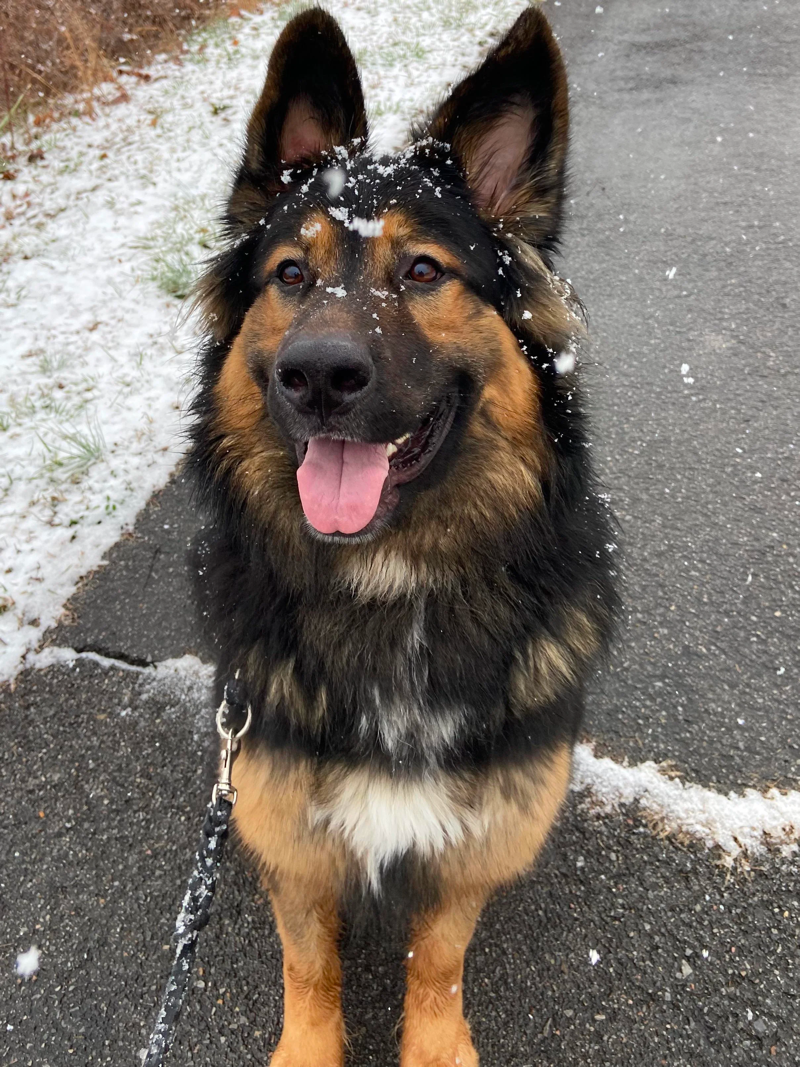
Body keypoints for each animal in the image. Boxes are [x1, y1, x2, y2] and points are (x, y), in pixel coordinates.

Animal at [190, 4, 618, 1062]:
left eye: (424, 270)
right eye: (290, 274)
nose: (317, 375)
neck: (389, 582)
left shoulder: (477, 844)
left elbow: (439, 958)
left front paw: (435, 1044)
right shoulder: (287, 835)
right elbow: (310, 963)